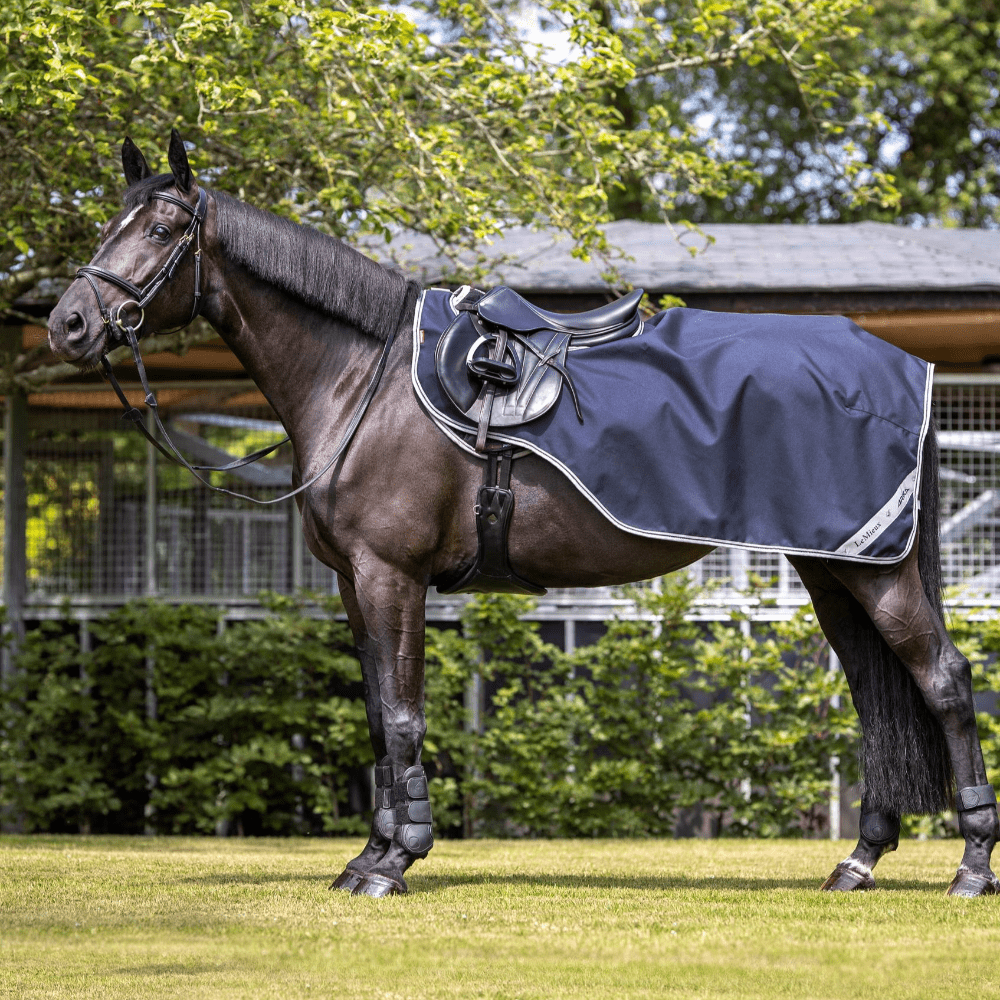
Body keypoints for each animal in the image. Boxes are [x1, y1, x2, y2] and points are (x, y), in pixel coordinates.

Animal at [48, 131, 1000, 900]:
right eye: (107, 225)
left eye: (160, 231)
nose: (67, 324)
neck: (364, 380)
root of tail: (900, 364)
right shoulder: (356, 584)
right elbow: (378, 716)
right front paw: (368, 856)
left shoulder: (391, 576)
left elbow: (403, 715)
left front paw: (395, 864)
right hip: (835, 571)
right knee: (875, 694)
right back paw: (859, 862)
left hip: (874, 574)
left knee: (945, 683)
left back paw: (969, 869)